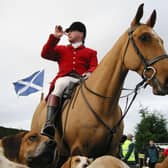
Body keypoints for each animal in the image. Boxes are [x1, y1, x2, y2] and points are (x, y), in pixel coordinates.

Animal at [30, 3, 168, 166]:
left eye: (161, 40)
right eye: (144, 37)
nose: (167, 79)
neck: (103, 105)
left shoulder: (111, 151)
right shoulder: (79, 150)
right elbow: (47, 52)